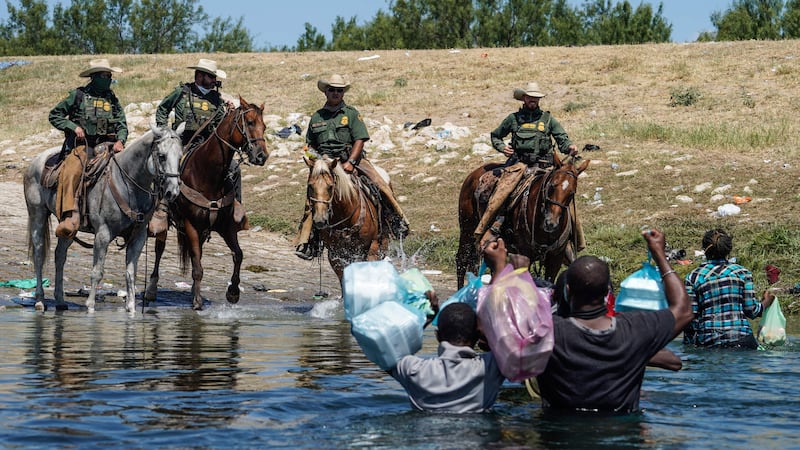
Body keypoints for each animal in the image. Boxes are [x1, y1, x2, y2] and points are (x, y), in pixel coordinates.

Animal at [22, 123, 186, 312]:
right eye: (161, 156)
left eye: (180, 157)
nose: (172, 192)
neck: (128, 184)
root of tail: (36, 161)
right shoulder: (103, 234)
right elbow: (97, 272)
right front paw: (90, 307)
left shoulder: (138, 237)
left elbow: (131, 273)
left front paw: (131, 309)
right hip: (37, 214)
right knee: (39, 254)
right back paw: (40, 300)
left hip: (69, 227)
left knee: (60, 256)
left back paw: (60, 300)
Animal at [144, 96, 268, 312]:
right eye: (250, 122)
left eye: (265, 126)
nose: (262, 156)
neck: (208, 174)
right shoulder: (191, 225)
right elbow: (197, 267)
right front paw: (197, 301)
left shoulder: (226, 227)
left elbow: (238, 255)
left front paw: (233, 292)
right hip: (167, 223)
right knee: (160, 249)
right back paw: (152, 289)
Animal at [456, 155, 588, 288]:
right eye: (552, 186)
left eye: (572, 193)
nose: (551, 223)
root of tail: (472, 175)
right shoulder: (524, 254)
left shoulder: (555, 258)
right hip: (467, 229)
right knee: (462, 260)